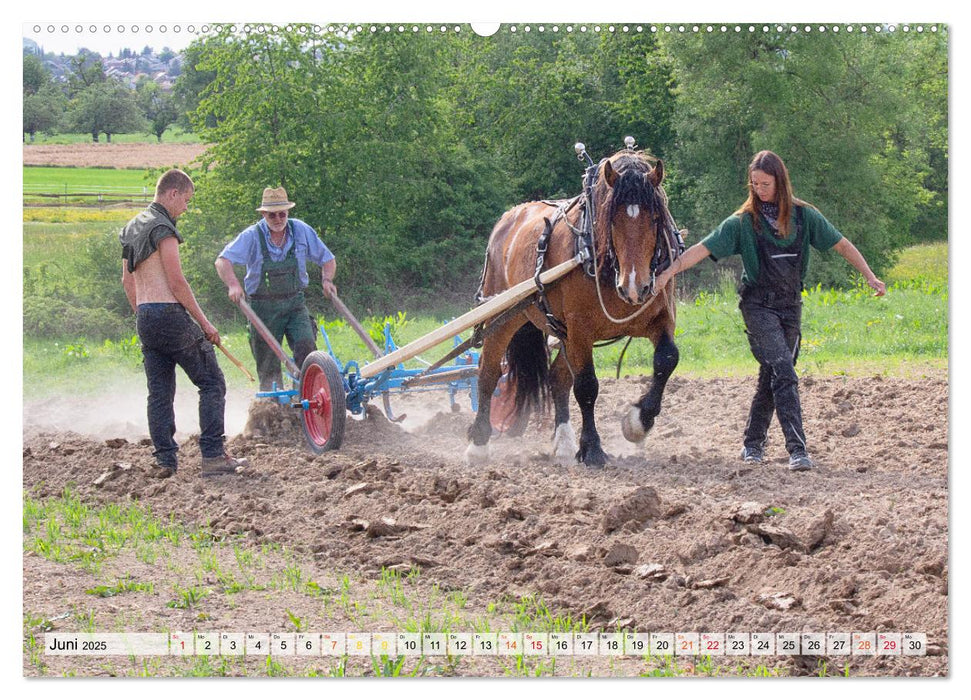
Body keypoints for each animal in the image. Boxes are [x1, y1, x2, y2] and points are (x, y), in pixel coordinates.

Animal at [468, 147, 680, 464]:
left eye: (655, 218)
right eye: (611, 219)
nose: (635, 286)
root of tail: (507, 219)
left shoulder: (661, 317)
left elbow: (667, 359)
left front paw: (637, 423)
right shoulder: (580, 328)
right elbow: (587, 386)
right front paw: (592, 448)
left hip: (561, 331)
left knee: (557, 379)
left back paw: (565, 443)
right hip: (502, 316)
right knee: (488, 373)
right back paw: (478, 444)